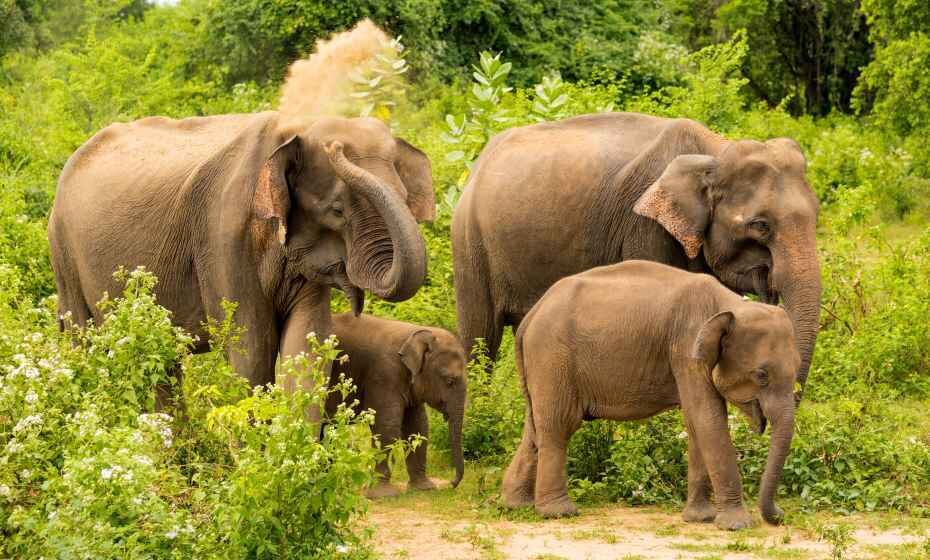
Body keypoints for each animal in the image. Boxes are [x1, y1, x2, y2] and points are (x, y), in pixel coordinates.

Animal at [52, 112, 436, 402]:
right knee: (83, 341)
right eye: (337, 210)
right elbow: (250, 350)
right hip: (63, 252)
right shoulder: (222, 237)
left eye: (405, 198)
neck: (291, 131)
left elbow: (306, 347)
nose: (337, 146)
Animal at [328, 312, 472, 496]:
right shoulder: (384, 374)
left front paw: (424, 488)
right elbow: (386, 425)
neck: (416, 333)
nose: (451, 484)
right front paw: (383, 494)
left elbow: (418, 426)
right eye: (449, 381)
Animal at [452, 111, 820, 398]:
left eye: (816, 216)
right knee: (481, 336)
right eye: (760, 225)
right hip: (470, 242)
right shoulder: (644, 227)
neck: (715, 150)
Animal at [504, 260, 800, 528]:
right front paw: (736, 525)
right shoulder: (685, 348)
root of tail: (531, 316)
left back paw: (516, 504)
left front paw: (700, 519)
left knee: (534, 428)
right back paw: (559, 512)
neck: (731, 304)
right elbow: (708, 419)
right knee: (559, 425)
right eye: (761, 375)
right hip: (553, 357)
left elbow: (696, 423)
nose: (780, 515)